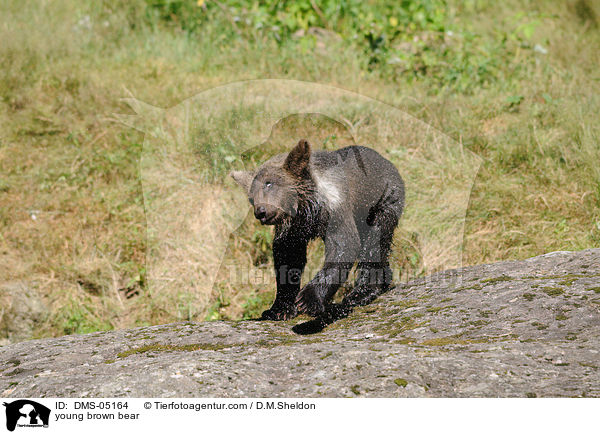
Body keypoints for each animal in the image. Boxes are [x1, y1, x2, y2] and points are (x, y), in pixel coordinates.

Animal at [230, 141, 404, 330]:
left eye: (269, 184)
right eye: (251, 197)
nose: (260, 211)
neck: (308, 209)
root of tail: (388, 162)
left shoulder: (336, 210)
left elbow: (344, 247)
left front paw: (308, 299)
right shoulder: (294, 229)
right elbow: (288, 257)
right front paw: (279, 308)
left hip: (383, 202)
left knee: (375, 243)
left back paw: (361, 293)